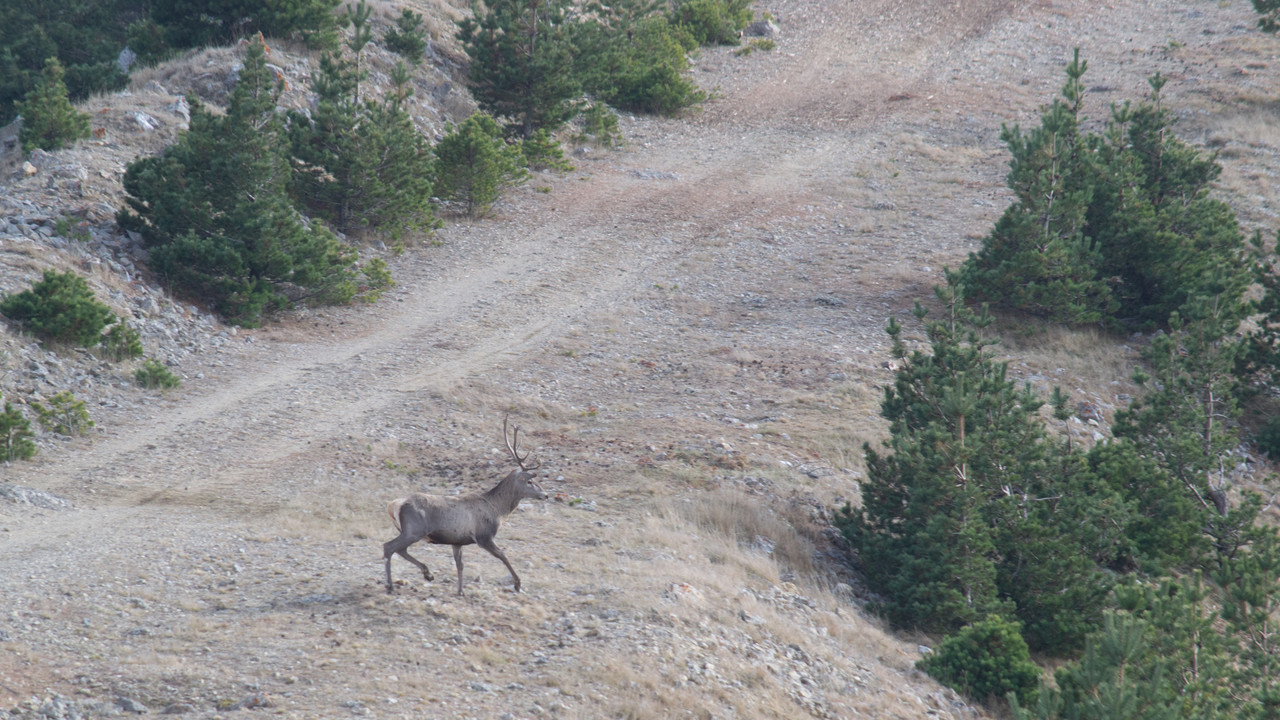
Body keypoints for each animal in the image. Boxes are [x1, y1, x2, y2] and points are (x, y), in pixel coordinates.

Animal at [373, 415, 545, 594]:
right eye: (530, 481)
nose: (545, 494)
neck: (498, 510)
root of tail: (393, 505)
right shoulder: (484, 536)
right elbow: (502, 555)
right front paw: (518, 583)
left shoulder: (457, 541)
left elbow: (460, 564)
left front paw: (460, 590)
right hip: (414, 530)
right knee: (389, 547)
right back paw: (391, 584)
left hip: (410, 531)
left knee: (400, 550)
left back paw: (427, 574)